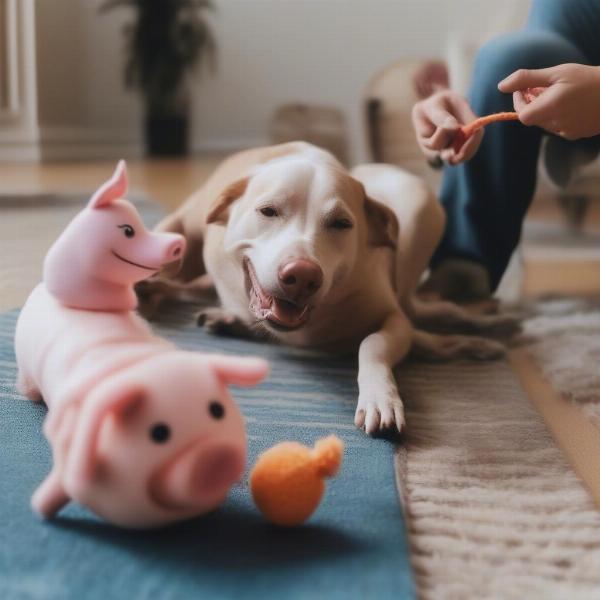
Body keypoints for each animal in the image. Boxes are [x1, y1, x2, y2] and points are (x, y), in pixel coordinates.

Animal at [138, 143, 516, 438]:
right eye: (268, 211)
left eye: (342, 224)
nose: (302, 275)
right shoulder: (181, 228)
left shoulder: (392, 318)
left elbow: (373, 344)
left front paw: (381, 397)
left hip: (418, 211)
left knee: (422, 309)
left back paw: (483, 324)